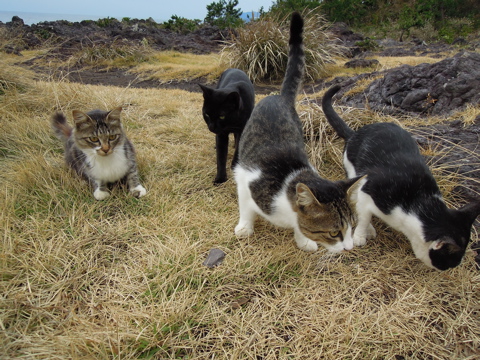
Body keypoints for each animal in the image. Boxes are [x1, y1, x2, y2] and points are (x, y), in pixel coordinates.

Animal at [233, 13, 364, 253]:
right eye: (334, 233)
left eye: (353, 226)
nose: (349, 248)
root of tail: (281, 97)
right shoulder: (245, 177)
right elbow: (246, 207)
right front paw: (245, 227)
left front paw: (303, 240)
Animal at [320, 85, 480, 270]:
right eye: (449, 260)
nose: (452, 267)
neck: (418, 203)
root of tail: (354, 134)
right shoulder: (369, 188)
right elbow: (364, 216)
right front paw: (360, 235)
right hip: (353, 171)